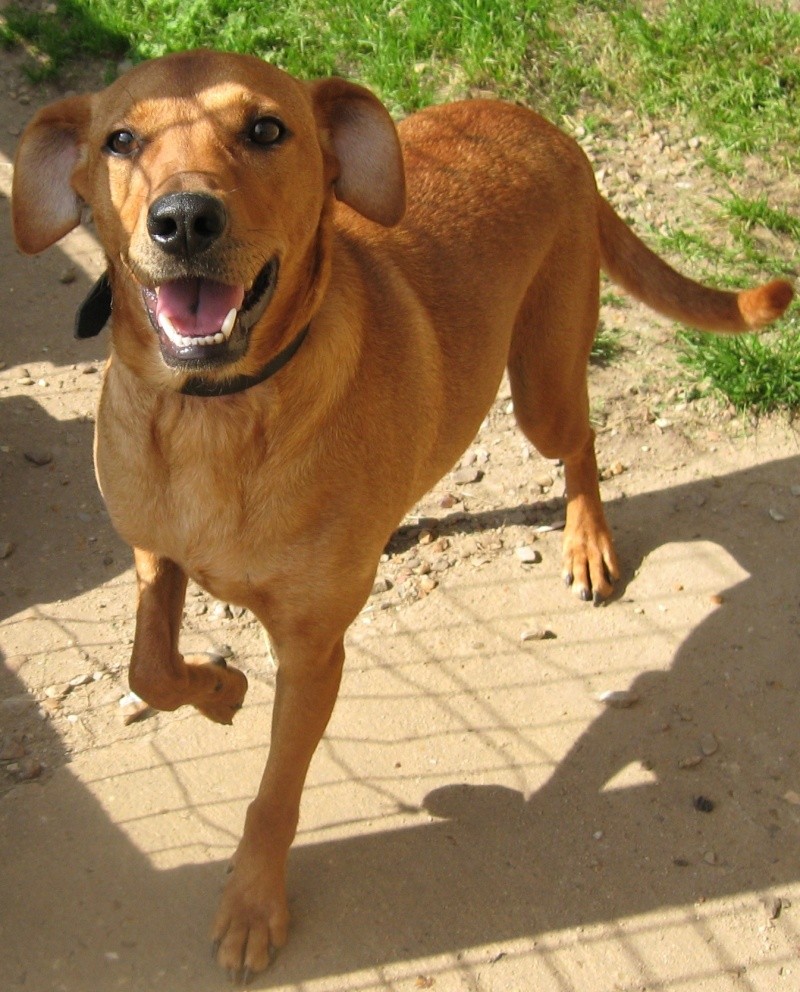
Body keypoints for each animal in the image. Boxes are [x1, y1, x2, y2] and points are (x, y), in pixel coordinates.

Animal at [12, 48, 792, 976]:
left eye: (266, 129)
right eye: (121, 141)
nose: (184, 220)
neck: (218, 415)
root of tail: (537, 122)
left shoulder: (314, 655)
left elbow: (275, 794)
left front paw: (253, 904)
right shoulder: (151, 552)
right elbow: (148, 668)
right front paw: (222, 688)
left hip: (543, 386)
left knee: (583, 442)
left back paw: (588, 542)